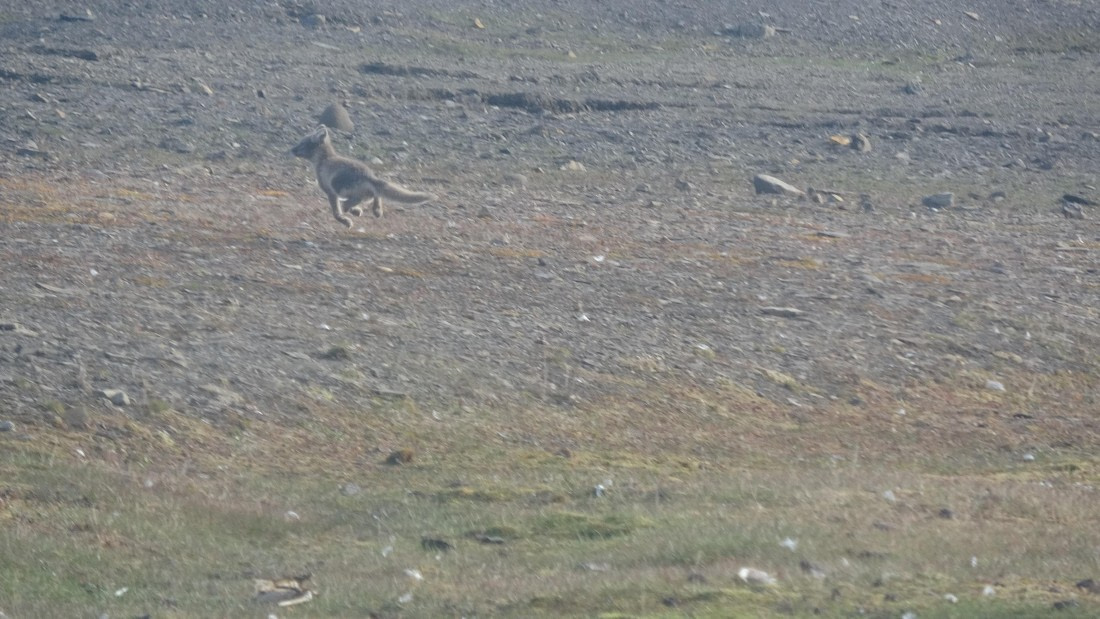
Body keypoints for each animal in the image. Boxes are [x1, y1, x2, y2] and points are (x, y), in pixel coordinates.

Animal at [291, 126, 435, 228]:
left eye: (302, 143)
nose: (292, 149)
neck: (324, 159)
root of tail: (368, 176)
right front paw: (355, 212)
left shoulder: (330, 191)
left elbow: (336, 212)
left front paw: (345, 220)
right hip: (362, 189)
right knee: (375, 195)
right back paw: (375, 211)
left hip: (339, 186)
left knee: (355, 200)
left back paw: (351, 210)